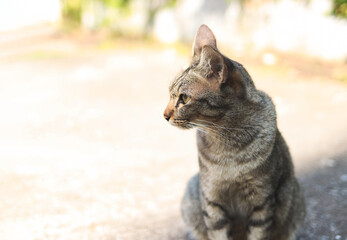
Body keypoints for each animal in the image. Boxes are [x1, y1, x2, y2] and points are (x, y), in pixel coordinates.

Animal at [164, 24, 308, 240]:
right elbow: (218, 233)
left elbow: (258, 234)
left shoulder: (262, 201)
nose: (164, 115)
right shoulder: (211, 199)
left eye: (185, 98)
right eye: (170, 94)